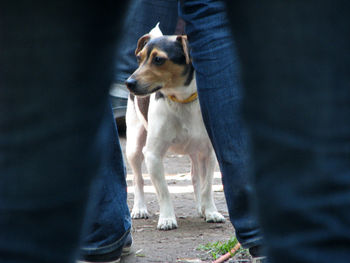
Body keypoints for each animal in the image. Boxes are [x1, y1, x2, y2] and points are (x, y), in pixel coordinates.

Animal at [124, 24, 226, 231]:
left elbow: (207, 187)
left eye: (158, 59)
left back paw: (201, 208)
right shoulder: (153, 155)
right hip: (134, 147)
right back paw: (139, 208)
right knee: (138, 179)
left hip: (196, 151)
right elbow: (164, 191)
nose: (128, 83)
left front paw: (211, 211)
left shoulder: (209, 153)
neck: (181, 100)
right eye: (139, 59)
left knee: (195, 177)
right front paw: (167, 218)